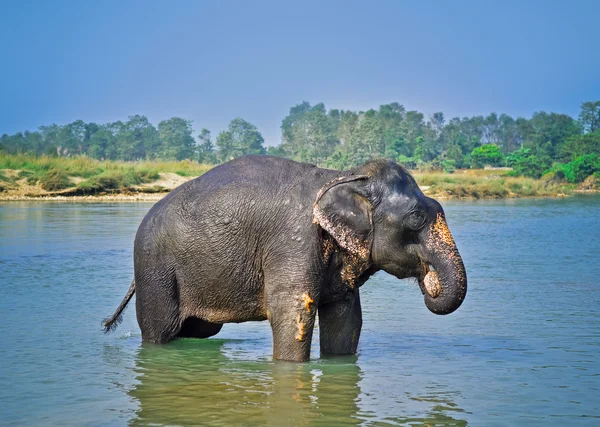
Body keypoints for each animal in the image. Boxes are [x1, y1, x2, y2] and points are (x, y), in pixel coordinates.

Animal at [104, 155, 468, 362]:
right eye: (416, 217)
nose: (430, 282)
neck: (341, 176)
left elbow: (347, 317)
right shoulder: (294, 241)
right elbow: (295, 311)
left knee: (198, 331)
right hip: (156, 269)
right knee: (161, 331)